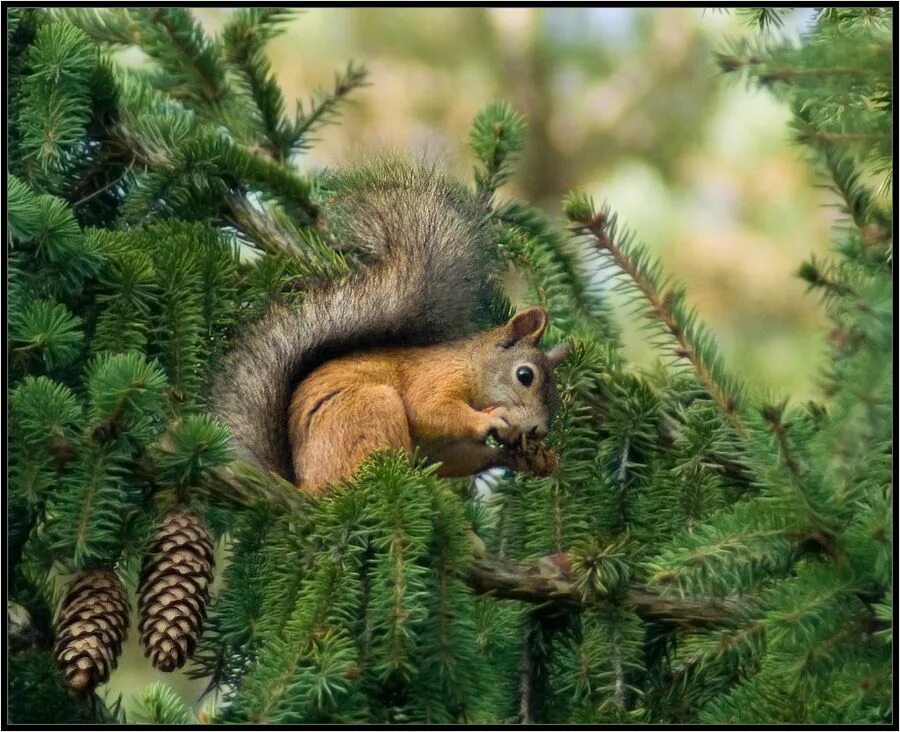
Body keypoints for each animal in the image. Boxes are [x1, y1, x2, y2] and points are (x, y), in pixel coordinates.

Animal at [209, 157, 568, 494]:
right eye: (525, 376)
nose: (538, 430)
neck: (473, 364)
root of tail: (304, 488)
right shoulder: (436, 377)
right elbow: (428, 408)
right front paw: (492, 418)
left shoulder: (442, 446)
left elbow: (455, 458)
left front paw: (532, 458)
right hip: (371, 408)